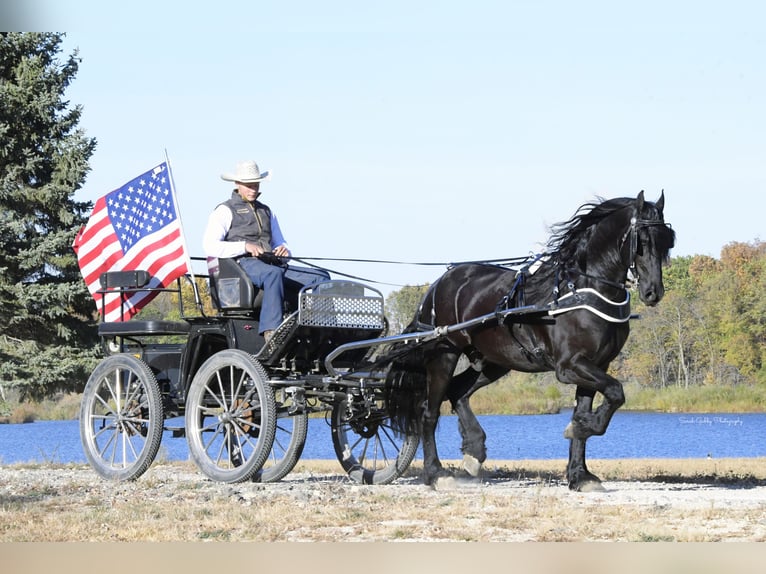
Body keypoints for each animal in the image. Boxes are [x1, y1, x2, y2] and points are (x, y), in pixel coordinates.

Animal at [390, 191, 680, 492]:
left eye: (667, 240)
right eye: (642, 240)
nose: (653, 292)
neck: (582, 292)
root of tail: (438, 285)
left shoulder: (597, 365)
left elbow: (588, 409)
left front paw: (580, 474)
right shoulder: (569, 367)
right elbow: (615, 392)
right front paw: (579, 430)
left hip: (494, 361)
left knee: (458, 391)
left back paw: (474, 451)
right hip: (444, 355)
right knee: (429, 412)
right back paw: (435, 473)